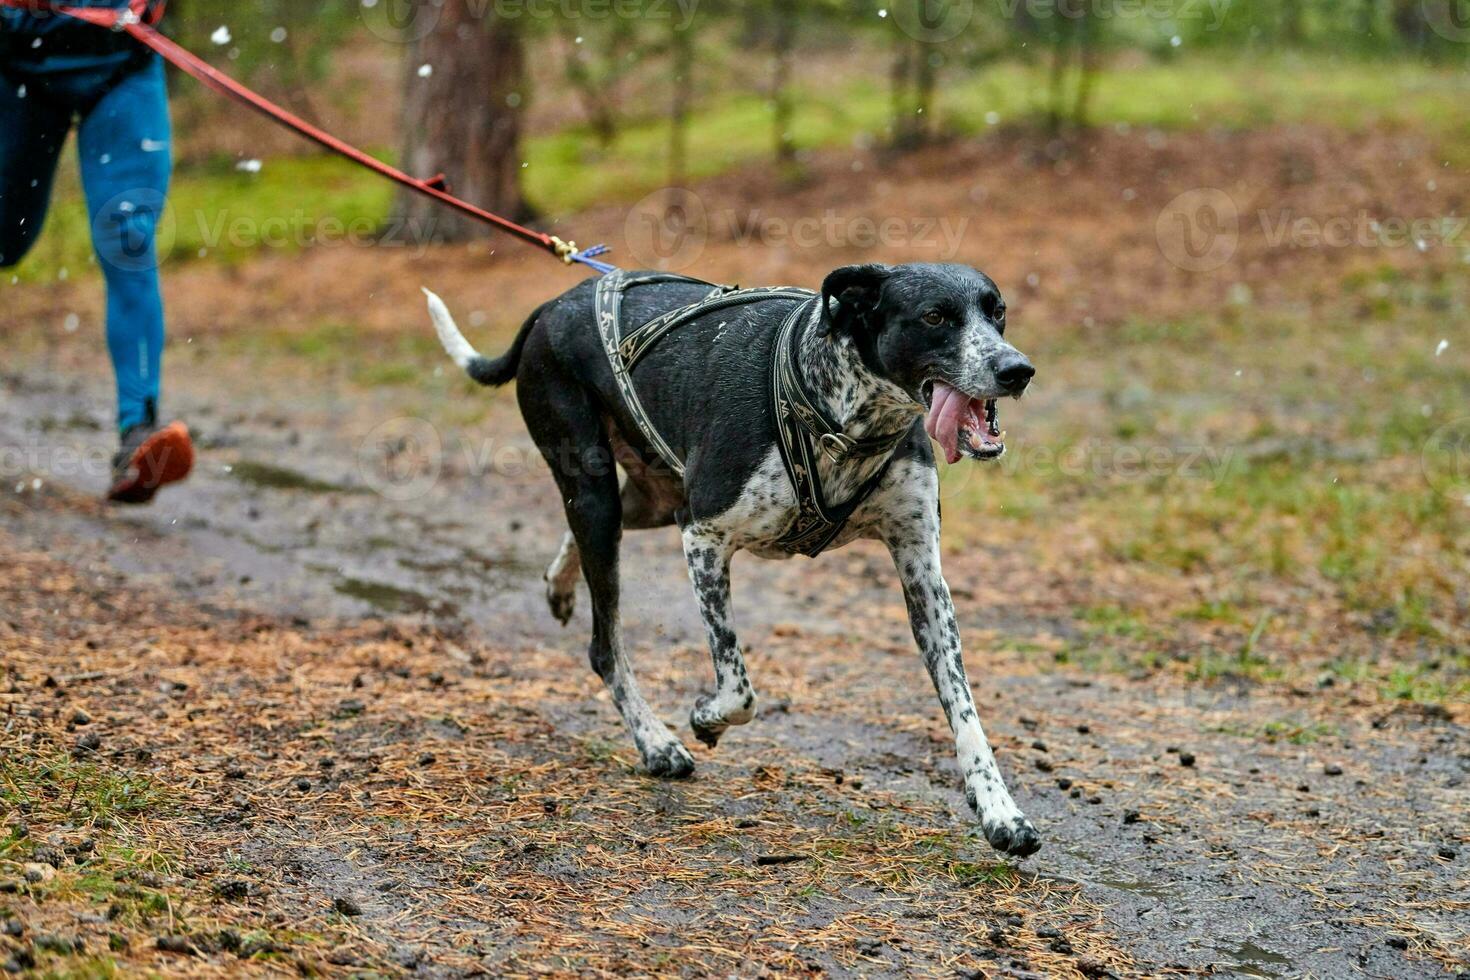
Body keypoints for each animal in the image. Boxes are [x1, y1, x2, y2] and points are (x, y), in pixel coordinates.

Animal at [426, 264, 1046, 852]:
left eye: (997, 311)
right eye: (935, 316)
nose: (1017, 369)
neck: (840, 416)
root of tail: (552, 306)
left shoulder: (921, 572)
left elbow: (964, 708)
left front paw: (1000, 812)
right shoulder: (704, 536)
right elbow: (739, 687)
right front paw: (705, 718)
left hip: (646, 501)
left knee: (580, 544)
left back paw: (559, 584)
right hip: (600, 494)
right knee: (605, 647)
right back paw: (655, 742)